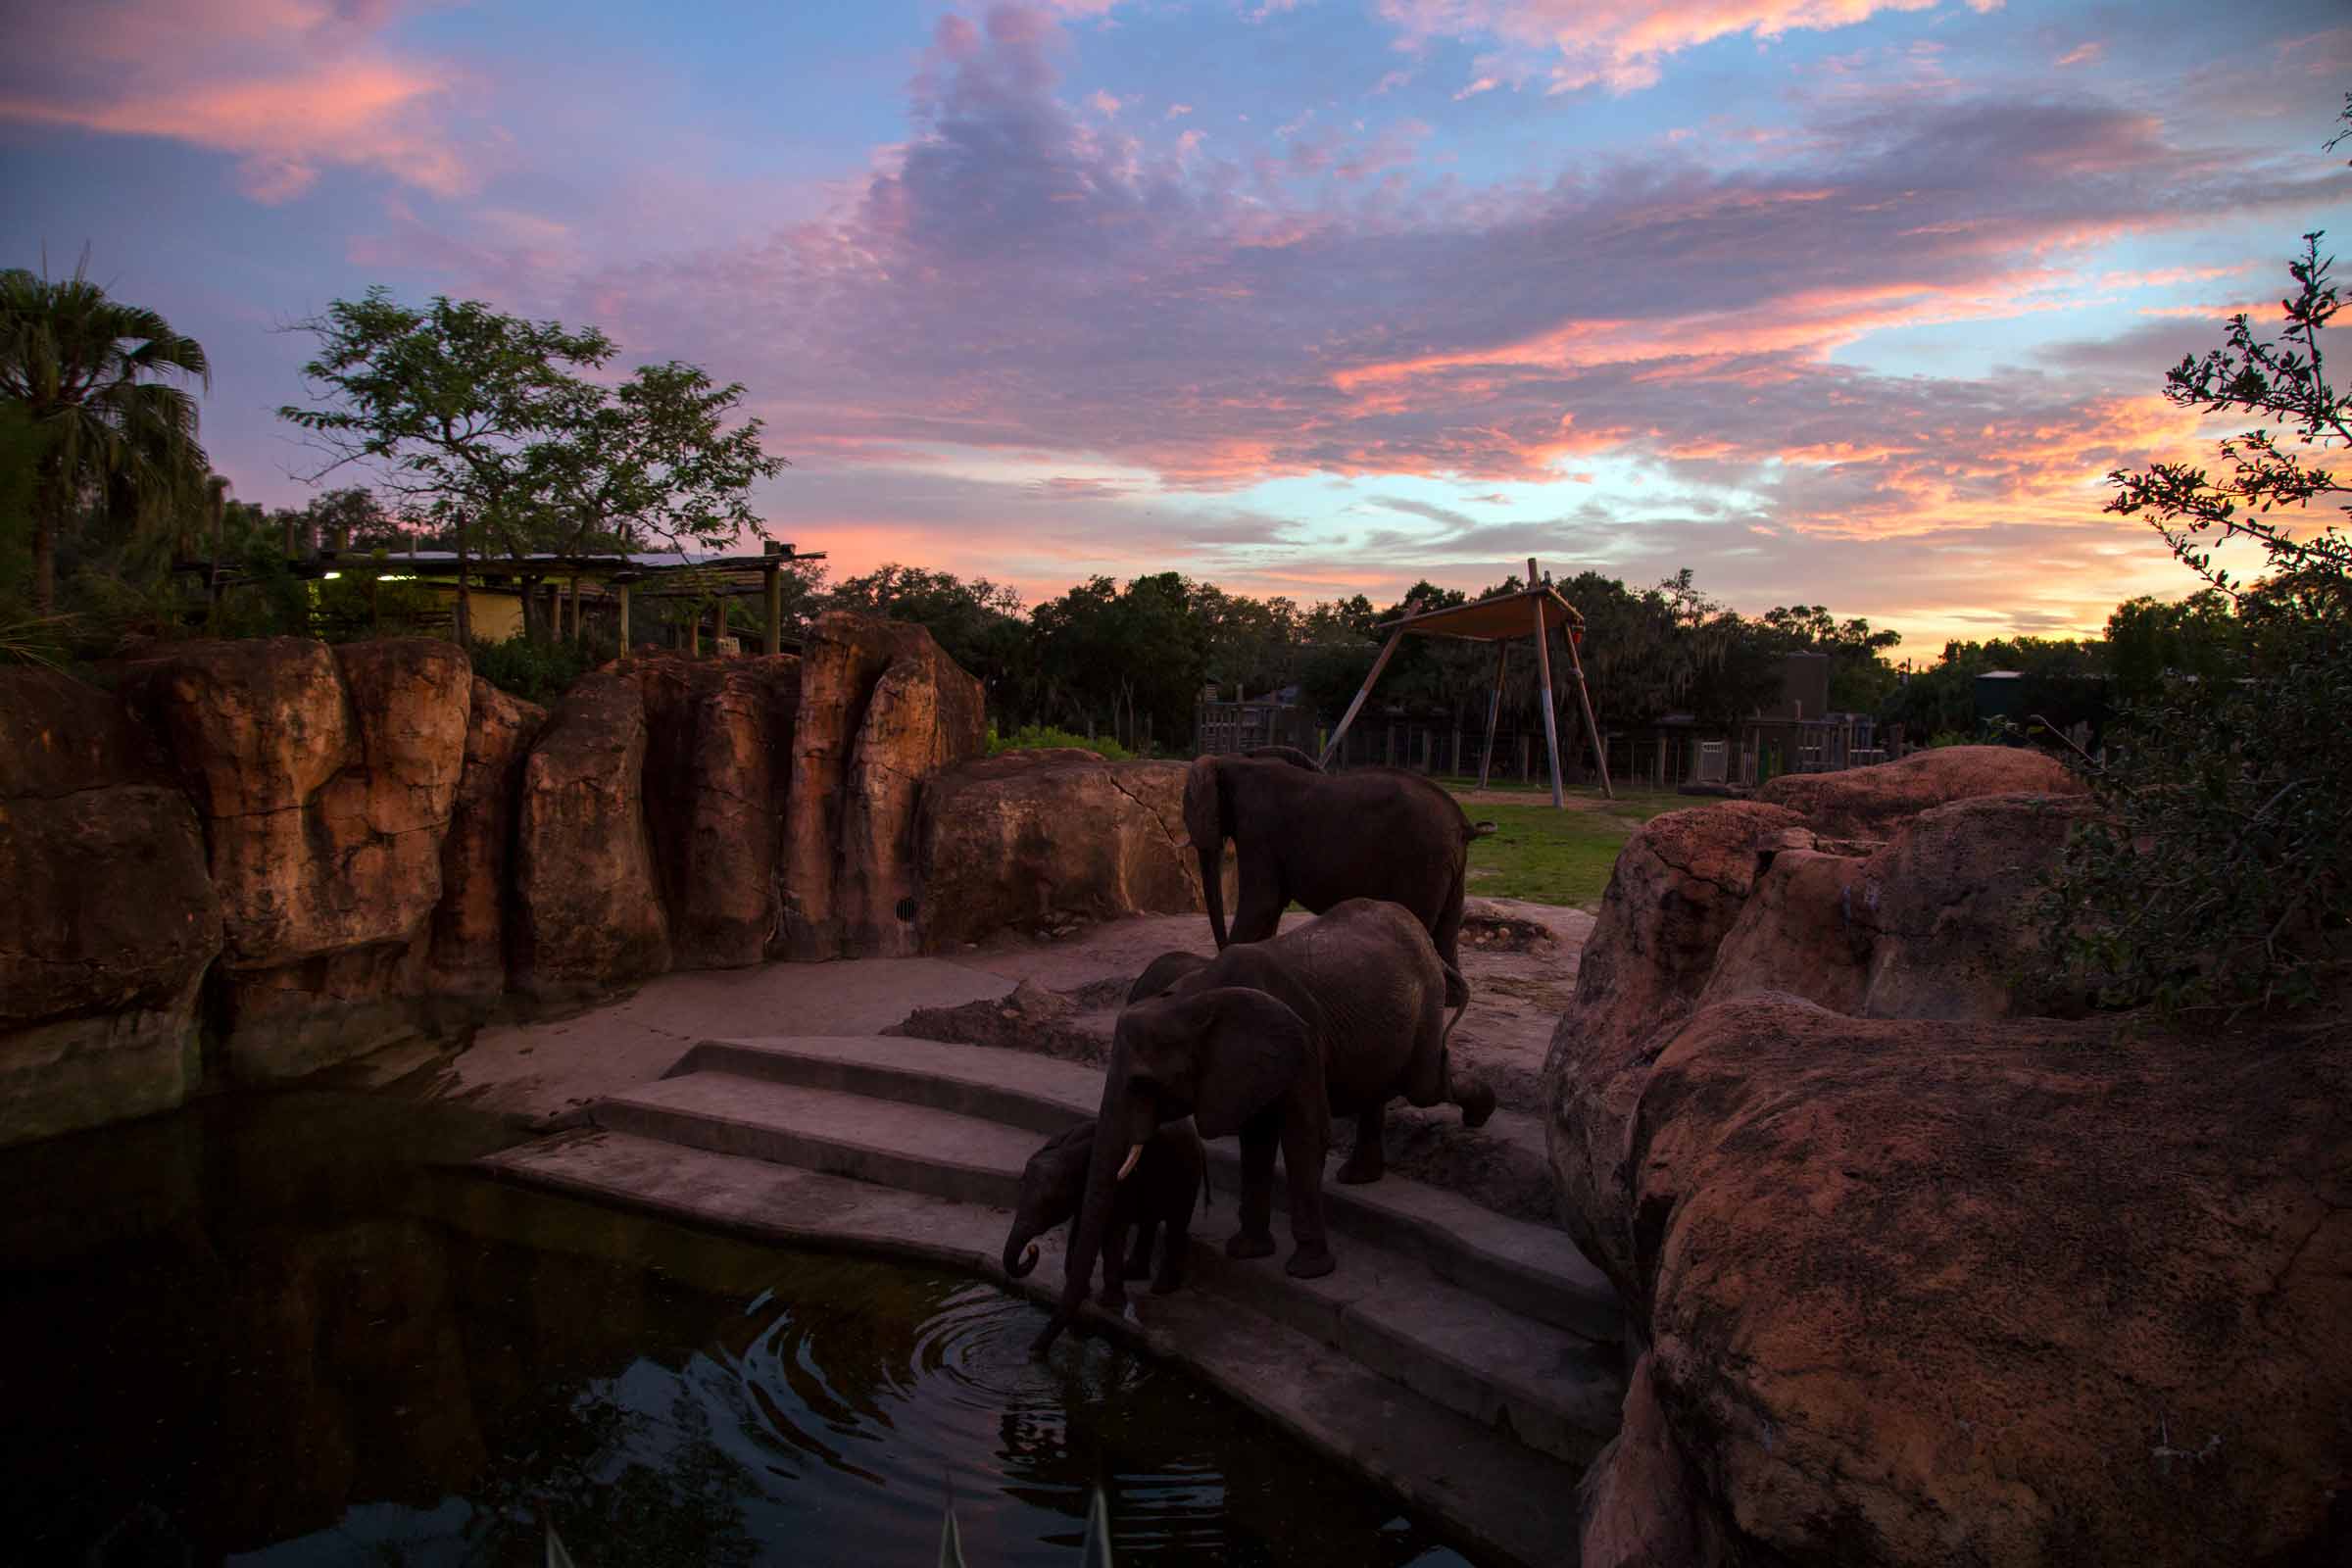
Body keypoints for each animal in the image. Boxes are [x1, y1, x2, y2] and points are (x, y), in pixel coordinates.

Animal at [1001, 1119, 1205, 1312]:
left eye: (1049, 1202)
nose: (1033, 1249)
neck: (1069, 1148)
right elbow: (1081, 1226)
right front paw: (1084, 1292)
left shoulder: (1120, 1185)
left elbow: (1112, 1232)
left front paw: (1110, 1304)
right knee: (1151, 1221)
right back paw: (1132, 1272)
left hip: (1188, 1173)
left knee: (1177, 1222)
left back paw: (1161, 1288)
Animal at [1031, 899, 1492, 1356]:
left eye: (1143, 1084)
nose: (1040, 1348)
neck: (1194, 998)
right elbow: (1256, 1137)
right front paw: (1247, 1252)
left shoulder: (1303, 1040)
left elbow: (1305, 1134)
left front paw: (1307, 1270)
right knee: (1386, 1084)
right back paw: (1362, 1175)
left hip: (1425, 1001)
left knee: (1423, 1086)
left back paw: (1478, 1111)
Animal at [1184, 749, 1492, 970]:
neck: (1232, 761)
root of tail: (1463, 823)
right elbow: (1270, 908)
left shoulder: (1258, 828)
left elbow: (1261, 903)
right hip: (1449, 867)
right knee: (1446, 939)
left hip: (1422, 860)